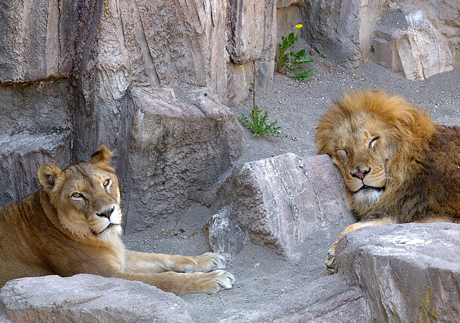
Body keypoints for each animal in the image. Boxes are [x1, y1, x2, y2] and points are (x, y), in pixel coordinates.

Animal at [0, 146, 234, 294]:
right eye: (77, 195)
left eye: (105, 183)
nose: (107, 212)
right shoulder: (100, 275)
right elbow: (164, 279)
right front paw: (212, 278)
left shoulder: (119, 257)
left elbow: (161, 256)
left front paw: (207, 259)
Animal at [316, 90, 460, 274]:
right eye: (343, 151)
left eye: (372, 141)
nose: (360, 173)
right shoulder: (395, 209)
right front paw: (335, 250)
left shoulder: (443, 216)